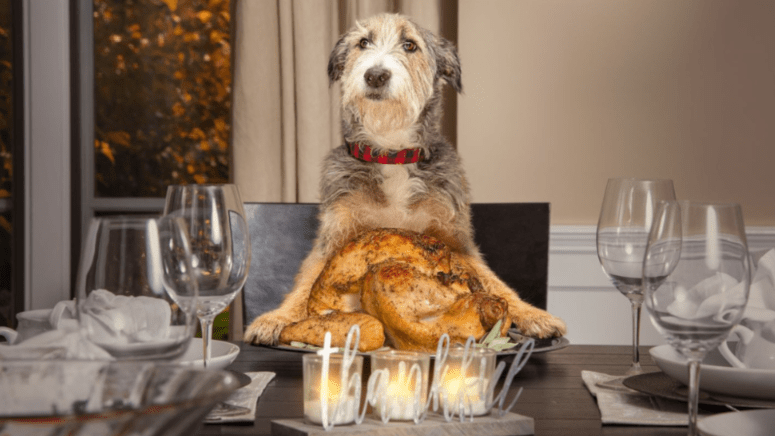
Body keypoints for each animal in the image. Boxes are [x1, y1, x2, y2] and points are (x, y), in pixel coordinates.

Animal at [246, 12, 568, 348]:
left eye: (410, 45)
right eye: (363, 42)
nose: (375, 75)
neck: (392, 151)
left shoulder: (457, 240)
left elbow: (494, 281)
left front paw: (534, 315)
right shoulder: (334, 236)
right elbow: (308, 279)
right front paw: (277, 317)